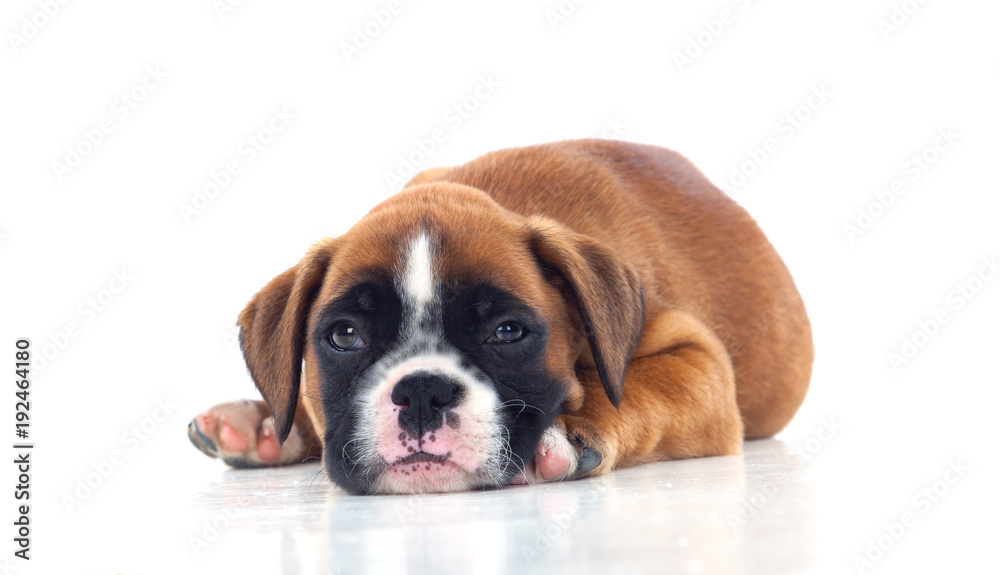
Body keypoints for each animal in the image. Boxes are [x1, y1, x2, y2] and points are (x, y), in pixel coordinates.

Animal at [188, 138, 812, 496]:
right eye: (344, 336)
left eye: (508, 332)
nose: (422, 393)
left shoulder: (700, 363)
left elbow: (632, 387)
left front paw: (570, 430)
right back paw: (262, 426)